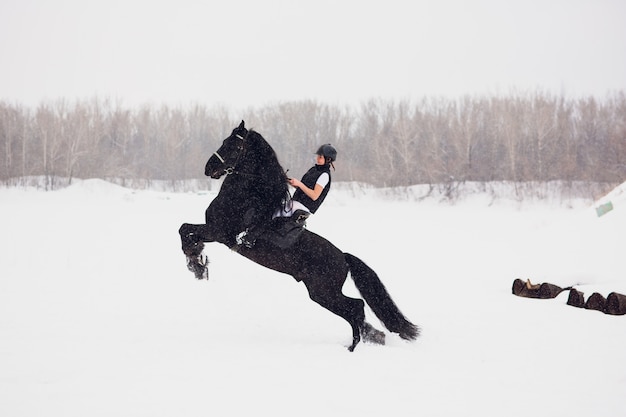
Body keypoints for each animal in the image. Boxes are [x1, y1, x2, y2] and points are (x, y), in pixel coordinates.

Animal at [178, 120, 416, 352]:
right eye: (224, 142)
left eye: (234, 146)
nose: (209, 168)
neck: (245, 197)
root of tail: (343, 257)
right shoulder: (214, 232)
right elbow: (186, 232)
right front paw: (197, 263)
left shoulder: (219, 232)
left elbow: (184, 229)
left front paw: (197, 266)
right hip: (322, 293)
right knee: (355, 309)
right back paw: (371, 338)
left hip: (323, 292)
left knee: (355, 307)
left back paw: (353, 347)